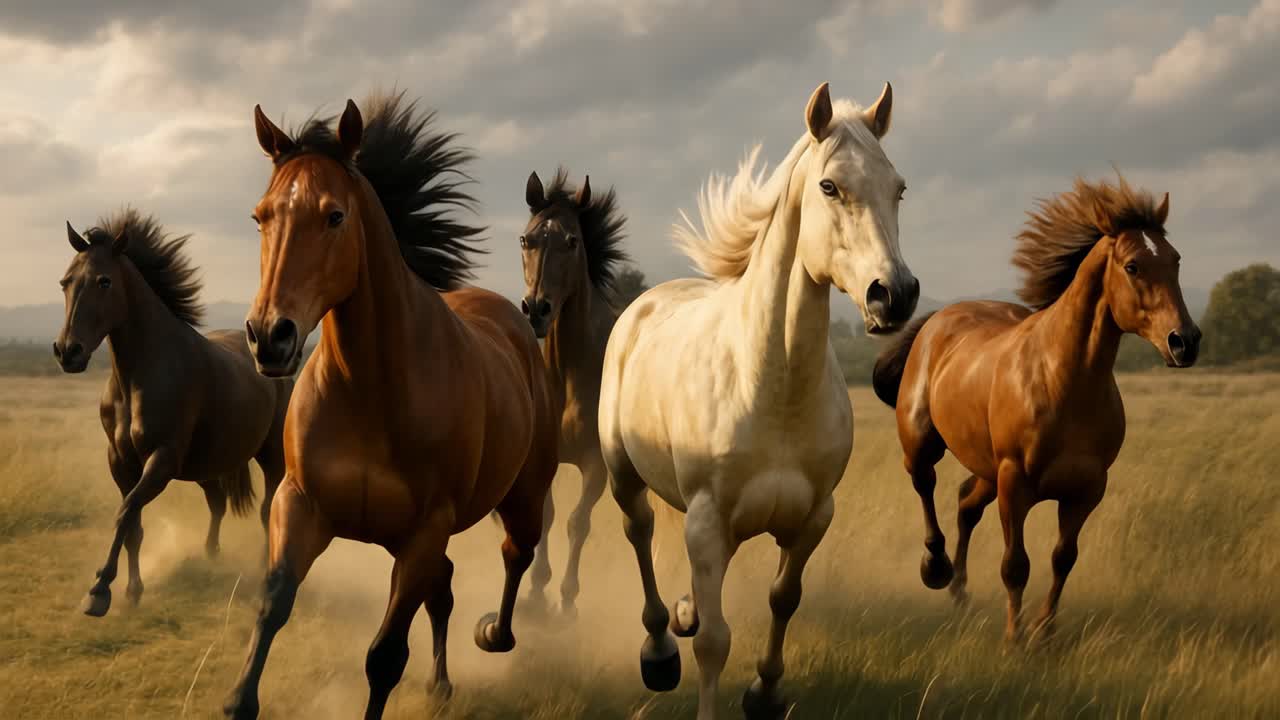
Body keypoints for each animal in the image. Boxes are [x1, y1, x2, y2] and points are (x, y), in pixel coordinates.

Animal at [54, 209, 292, 617]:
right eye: (65, 281)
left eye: (104, 281)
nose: (68, 351)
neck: (139, 376)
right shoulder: (120, 461)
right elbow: (133, 525)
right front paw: (132, 590)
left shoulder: (161, 460)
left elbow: (126, 513)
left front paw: (99, 590)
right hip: (207, 465)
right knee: (218, 502)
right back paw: (211, 555)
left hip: (271, 455)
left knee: (266, 510)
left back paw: (266, 572)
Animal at [224, 92, 561, 720]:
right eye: (261, 216)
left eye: (334, 216)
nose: (269, 337)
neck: (370, 393)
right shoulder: (300, 504)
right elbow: (273, 603)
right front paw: (238, 701)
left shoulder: (425, 532)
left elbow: (384, 657)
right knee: (445, 589)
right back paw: (442, 683)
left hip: (522, 497)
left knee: (514, 554)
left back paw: (492, 635)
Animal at [597, 81, 918, 720]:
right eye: (829, 186)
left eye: (897, 187)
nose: (893, 294)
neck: (772, 388)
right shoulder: (708, 522)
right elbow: (716, 641)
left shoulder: (813, 517)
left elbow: (783, 598)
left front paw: (764, 693)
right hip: (623, 475)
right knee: (639, 533)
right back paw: (659, 649)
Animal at [872, 176, 1201, 646]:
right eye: (1133, 266)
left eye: (1175, 260)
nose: (1185, 341)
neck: (1061, 380)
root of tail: (938, 320)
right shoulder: (1016, 484)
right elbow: (1015, 564)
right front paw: (1015, 637)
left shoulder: (1086, 489)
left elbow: (1063, 558)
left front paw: (1045, 631)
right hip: (924, 445)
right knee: (926, 486)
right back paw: (937, 569)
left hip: (987, 468)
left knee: (966, 504)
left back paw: (960, 591)